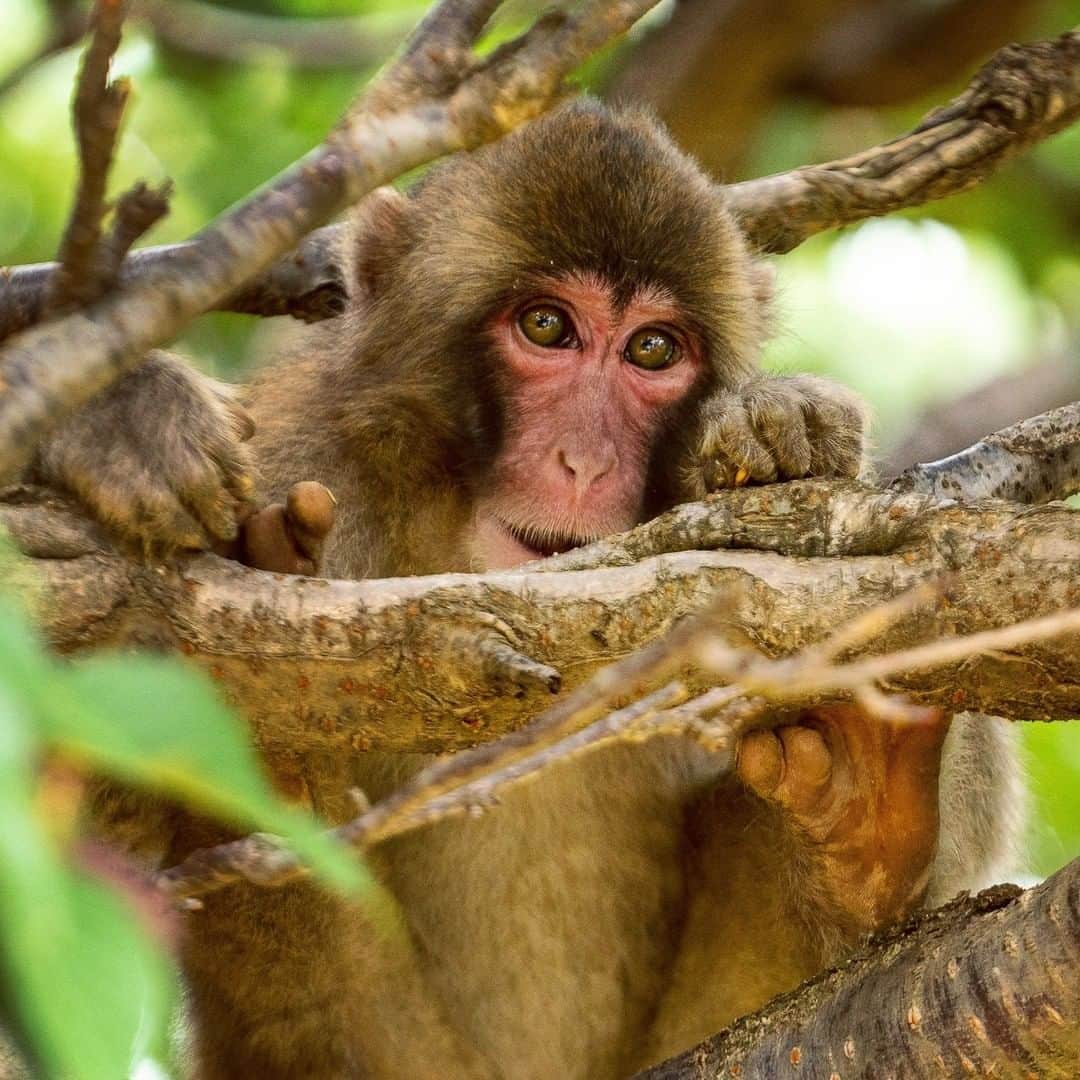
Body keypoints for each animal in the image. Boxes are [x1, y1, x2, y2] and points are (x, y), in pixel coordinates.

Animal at [32, 100, 1023, 1078]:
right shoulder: (290, 460)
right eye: (547, 327)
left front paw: (776, 424)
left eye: (652, 349)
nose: (584, 461)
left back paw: (858, 812)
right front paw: (115, 417)